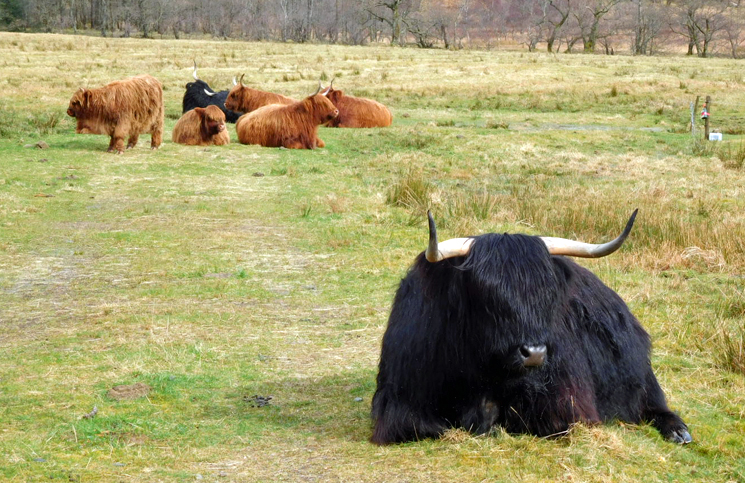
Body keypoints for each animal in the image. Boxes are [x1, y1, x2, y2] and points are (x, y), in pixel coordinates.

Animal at [372, 210, 692, 448]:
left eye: (547, 293)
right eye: (486, 293)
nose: (534, 353)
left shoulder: (565, 403)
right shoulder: (401, 403)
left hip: (639, 373)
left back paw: (679, 432)